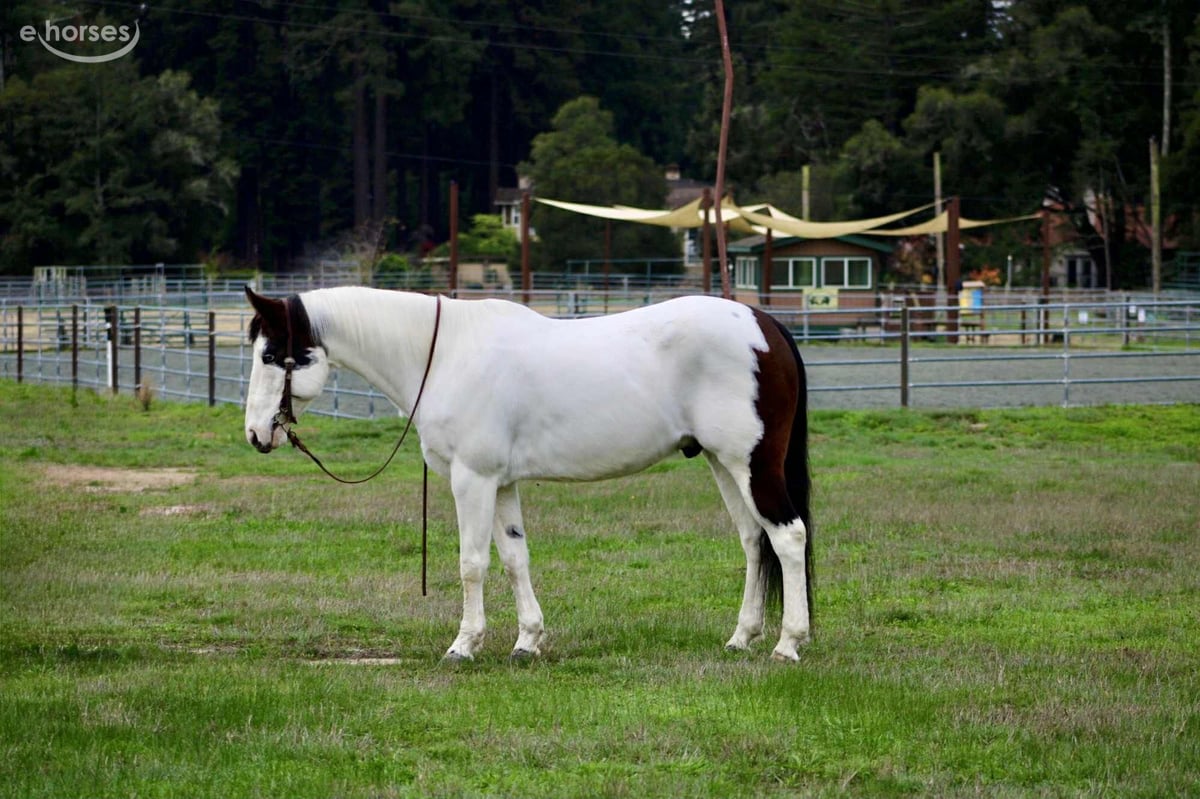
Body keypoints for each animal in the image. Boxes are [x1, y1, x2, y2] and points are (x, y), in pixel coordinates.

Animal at [243, 286, 813, 662]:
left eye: (271, 355)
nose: (255, 435)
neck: (444, 354)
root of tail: (764, 326)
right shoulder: (502, 483)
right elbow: (516, 558)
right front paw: (527, 641)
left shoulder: (472, 479)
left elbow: (472, 563)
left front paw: (463, 645)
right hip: (723, 463)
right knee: (754, 541)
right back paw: (742, 638)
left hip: (751, 463)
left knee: (788, 537)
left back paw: (788, 644)